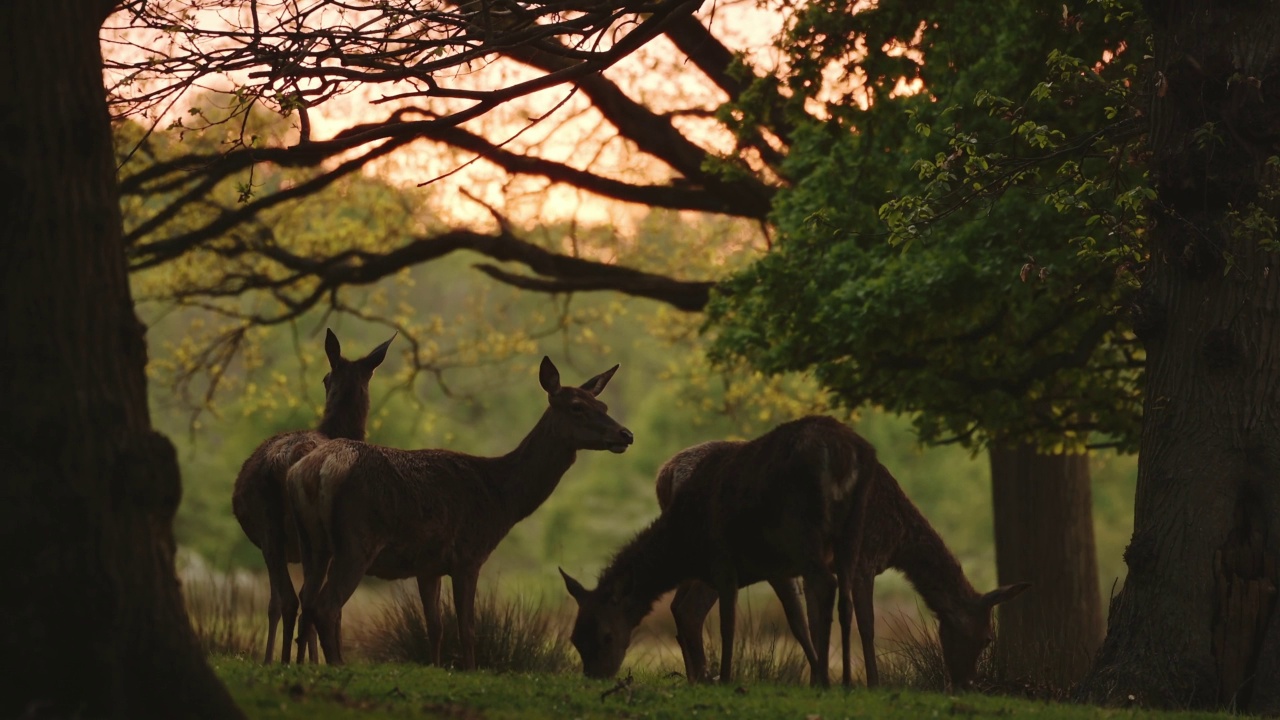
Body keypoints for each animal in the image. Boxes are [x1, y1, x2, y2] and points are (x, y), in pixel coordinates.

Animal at [227, 325, 391, 661]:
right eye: (326, 378)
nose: (326, 380)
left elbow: (278, 601)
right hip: (297, 532)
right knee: (302, 598)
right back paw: (294, 659)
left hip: (272, 530)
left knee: (288, 599)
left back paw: (283, 660)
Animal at [288, 356, 632, 666]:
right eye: (576, 406)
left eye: (603, 406)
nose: (625, 434)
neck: (501, 499)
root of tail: (313, 469)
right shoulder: (469, 555)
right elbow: (467, 629)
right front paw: (471, 669)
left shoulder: (428, 565)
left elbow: (435, 627)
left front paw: (436, 667)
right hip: (356, 541)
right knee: (327, 606)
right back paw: (337, 664)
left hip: (313, 545)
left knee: (306, 600)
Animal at [650, 440, 1029, 686]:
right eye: (988, 638)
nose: (969, 684)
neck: (897, 538)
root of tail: (663, 476)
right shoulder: (865, 557)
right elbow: (867, 623)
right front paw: (873, 683)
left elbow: (817, 620)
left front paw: (822, 679)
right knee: (690, 608)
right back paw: (704, 676)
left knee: (680, 605)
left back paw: (696, 676)